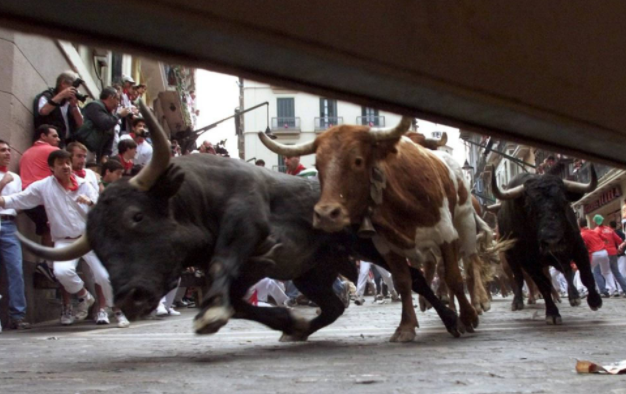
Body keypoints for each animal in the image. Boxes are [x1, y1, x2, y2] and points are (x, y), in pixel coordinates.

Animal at [18, 101, 458, 342]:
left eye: (137, 216)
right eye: (98, 245)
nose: (129, 296)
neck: (196, 196)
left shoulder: (245, 225)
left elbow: (222, 267)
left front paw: (213, 315)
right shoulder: (253, 271)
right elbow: (238, 301)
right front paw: (284, 319)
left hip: (372, 247)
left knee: (414, 279)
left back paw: (452, 319)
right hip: (310, 272)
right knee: (334, 302)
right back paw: (300, 328)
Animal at [256, 115, 490, 340]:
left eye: (358, 161)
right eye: (319, 164)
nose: (325, 214)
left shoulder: (445, 234)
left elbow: (454, 277)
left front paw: (468, 317)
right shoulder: (387, 247)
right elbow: (403, 281)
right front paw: (406, 327)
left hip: (465, 223)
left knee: (470, 264)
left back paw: (478, 303)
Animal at [488, 167, 600, 324]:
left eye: (564, 201)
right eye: (528, 206)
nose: (552, 239)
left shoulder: (578, 246)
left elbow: (586, 274)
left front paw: (594, 300)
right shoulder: (529, 262)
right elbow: (543, 285)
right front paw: (552, 313)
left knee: (566, 272)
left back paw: (573, 297)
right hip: (511, 260)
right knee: (518, 279)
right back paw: (518, 302)